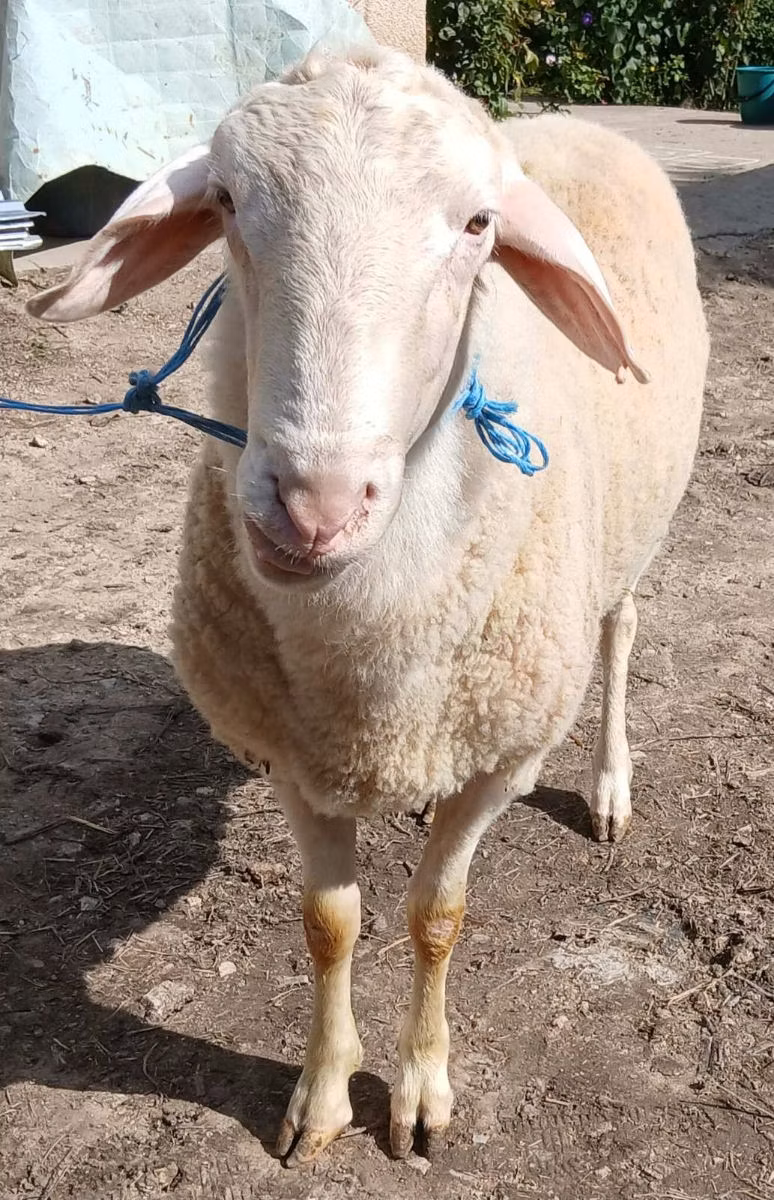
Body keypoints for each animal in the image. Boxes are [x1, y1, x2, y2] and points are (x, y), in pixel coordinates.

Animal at [28, 47, 709, 1167]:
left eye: (478, 226)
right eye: (225, 202)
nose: (316, 504)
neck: (367, 670)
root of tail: (577, 122)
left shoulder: (496, 750)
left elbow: (437, 915)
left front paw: (421, 1092)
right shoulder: (292, 754)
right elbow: (329, 923)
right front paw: (322, 1097)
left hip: (629, 538)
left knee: (620, 632)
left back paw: (609, 784)